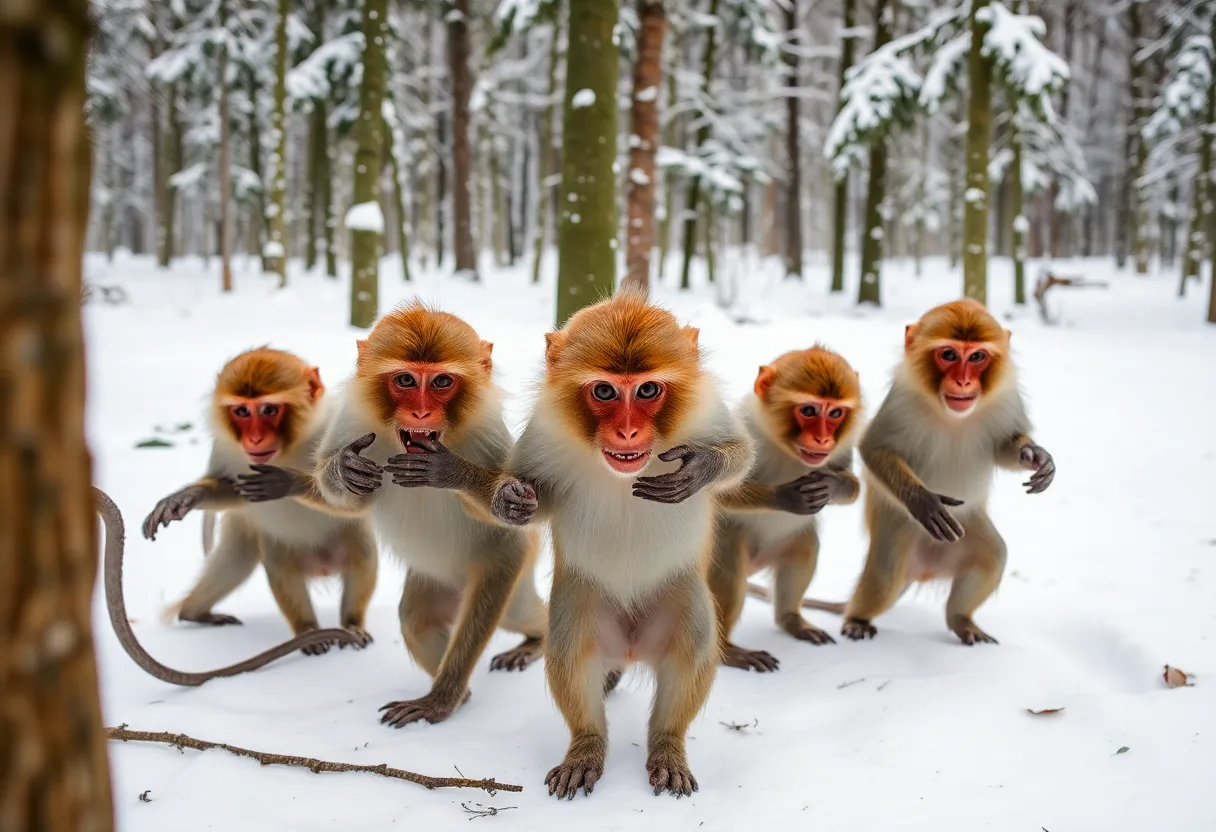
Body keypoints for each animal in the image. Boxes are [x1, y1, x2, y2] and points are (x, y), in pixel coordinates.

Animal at [138, 343, 376, 656]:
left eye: (268, 409)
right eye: (241, 411)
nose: (253, 439)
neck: (289, 449)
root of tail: (320, 568)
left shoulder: (341, 426)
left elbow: (359, 501)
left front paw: (290, 482)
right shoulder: (226, 449)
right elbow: (234, 490)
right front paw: (187, 497)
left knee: (361, 551)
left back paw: (350, 624)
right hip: (261, 540)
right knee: (265, 566)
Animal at [294, 304, 547, 729]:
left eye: (442, 381)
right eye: (406, 380)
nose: (421, 411)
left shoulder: (486, 433)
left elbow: (512, 515)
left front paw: (461, 477)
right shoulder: (352, 422)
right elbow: (350, 505)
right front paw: (343, 471)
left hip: (508, 563)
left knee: (513, 611)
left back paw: (454, 691)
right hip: (437, 580)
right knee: (416, 620)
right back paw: (460, 694)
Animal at [488, 291, 753, 797]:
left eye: (647, 391)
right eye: (606, 392)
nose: (627, 432)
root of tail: (630, 648)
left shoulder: (708, 411)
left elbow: (743, 455)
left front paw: (701, 468)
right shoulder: (544, 433)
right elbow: (537, 496)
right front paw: (510, 499)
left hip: (677, 597)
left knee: (692, 643)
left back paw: (667, 744)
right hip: (583, 603)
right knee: (569, 650)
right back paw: (587, 746)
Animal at [705, 347, 865, 671]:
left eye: (836, 413)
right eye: (809, 411)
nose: (823, 439)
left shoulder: (843, 447)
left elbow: (853, 487)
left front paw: (833, 485)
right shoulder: (743, 427)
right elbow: (719, 492)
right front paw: (786, 498)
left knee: (805, 550)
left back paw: (792, 621)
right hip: (727, 542)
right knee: (730, 573)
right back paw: (729, 651)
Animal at [836, 299, 1055, 642]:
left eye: (977, 356)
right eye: (949, 354)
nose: (963, 381)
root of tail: (925, 570)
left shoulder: (1006, 400)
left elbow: (1003, 448)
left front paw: (1035, 456)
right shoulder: (901, 402)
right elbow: (874, 448)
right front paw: (924, 502)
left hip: (969, 531)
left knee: (993, 556)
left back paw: (962, 621)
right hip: (897, 531)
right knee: (885, 575)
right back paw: (857, 618)